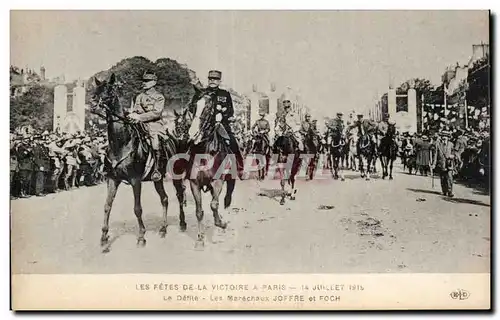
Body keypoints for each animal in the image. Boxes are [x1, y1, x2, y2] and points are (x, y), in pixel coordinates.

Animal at [89, 74, 187, 251]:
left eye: (109, 90)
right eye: (96, 89)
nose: (92, 104)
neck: (121, 143)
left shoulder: (136, 180)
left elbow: (137, 209)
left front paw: (141, 237)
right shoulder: (112, 179)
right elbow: (107, 206)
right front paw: (104, 237)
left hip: (175, 176)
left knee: (179, 195)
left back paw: (182, 224)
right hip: (158, 179)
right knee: (165, 199)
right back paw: (163, 229)